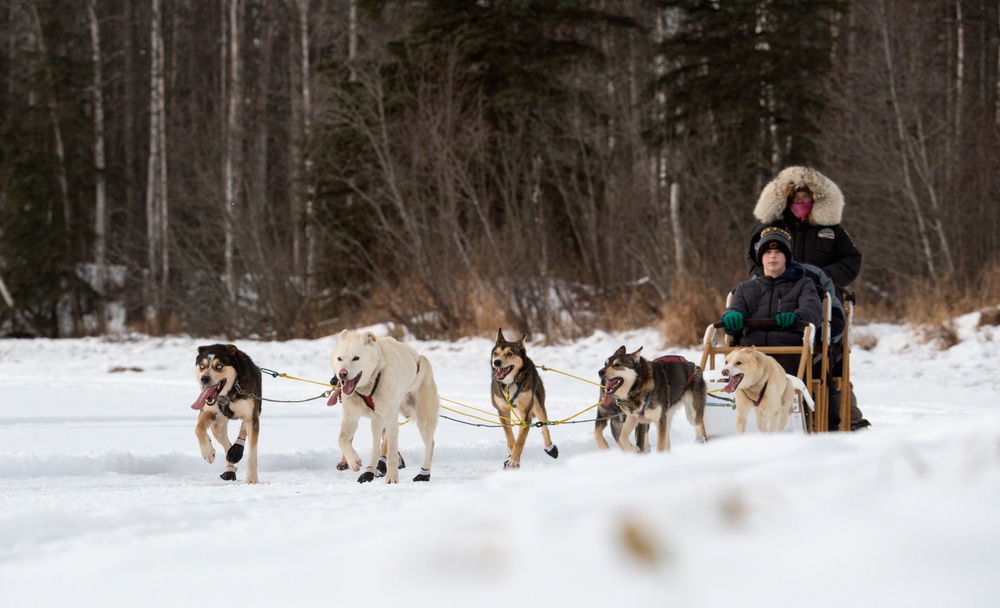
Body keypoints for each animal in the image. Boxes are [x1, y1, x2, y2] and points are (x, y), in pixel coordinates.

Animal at [190, 346, 262, 484]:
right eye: (202, 366)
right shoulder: (208, 411)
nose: (204, 378)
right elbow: (198, 428)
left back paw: (237, 449)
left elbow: (252, 452)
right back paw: (230, 466)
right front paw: (207, 452)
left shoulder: (252, 417)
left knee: (243, 429)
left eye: (219, 366)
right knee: (226, 445)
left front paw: (251, 478)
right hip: (217, 427)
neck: (230, 393)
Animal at [330, 330, 440, 482]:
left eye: (356, 358)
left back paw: (424, 474)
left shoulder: (390, 418)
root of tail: (423, 359)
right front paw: (353, 461)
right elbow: (342, 439)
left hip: (424, 420)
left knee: (430, 444)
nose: (342, 374)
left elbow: (392, 451)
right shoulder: (351, 417)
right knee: (376, 448)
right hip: (377, 421)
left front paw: (392, 477)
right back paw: (369, 472)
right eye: (339, 358)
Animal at [490, 330, 560, 468]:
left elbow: (520, 440)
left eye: (510, 353)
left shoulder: (526, 413)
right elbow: (510, 437)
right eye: (496, 353)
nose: (497, 362)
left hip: (537, 405)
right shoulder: (503, 411)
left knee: (545, 426)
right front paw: (511, 457)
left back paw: (550, 448)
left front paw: (514, 460)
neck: (510, 383)